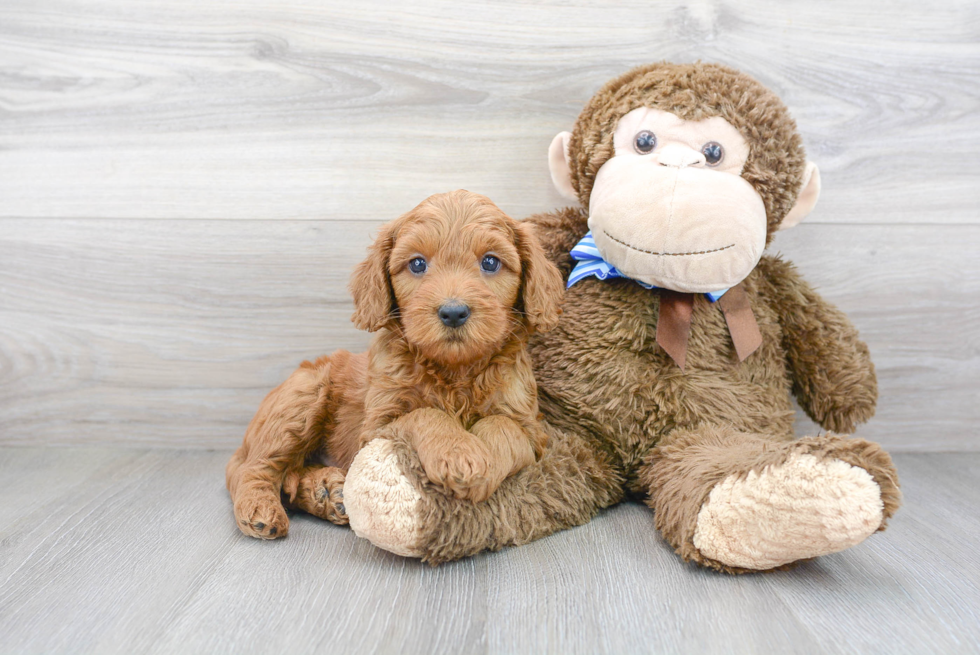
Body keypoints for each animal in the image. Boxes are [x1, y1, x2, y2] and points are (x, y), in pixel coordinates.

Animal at [222, 188, 560, 540]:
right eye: (417, 264)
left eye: (491, 262)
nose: (453, 312)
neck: (454, 369)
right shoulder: (377, 427)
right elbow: (425, 414)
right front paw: (459, 453)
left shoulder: (531, 428)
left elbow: (503, 427)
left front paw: (482, 467)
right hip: (300, 399)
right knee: (249, 467)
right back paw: (260, 509)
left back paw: (328, 493)